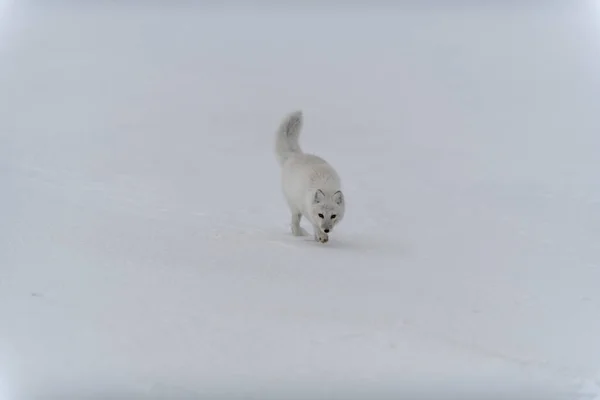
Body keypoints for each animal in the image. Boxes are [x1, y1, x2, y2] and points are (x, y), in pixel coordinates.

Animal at [274, 108, 344, 244]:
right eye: (321, 215)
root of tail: (294, 155)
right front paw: (321, 236)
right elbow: (315, 225)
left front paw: (320, 237)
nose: (327, 230)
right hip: (295, 206)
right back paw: (298, 236)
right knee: (294, 223)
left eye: (333, 216)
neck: (325, 186)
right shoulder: (309, 212)